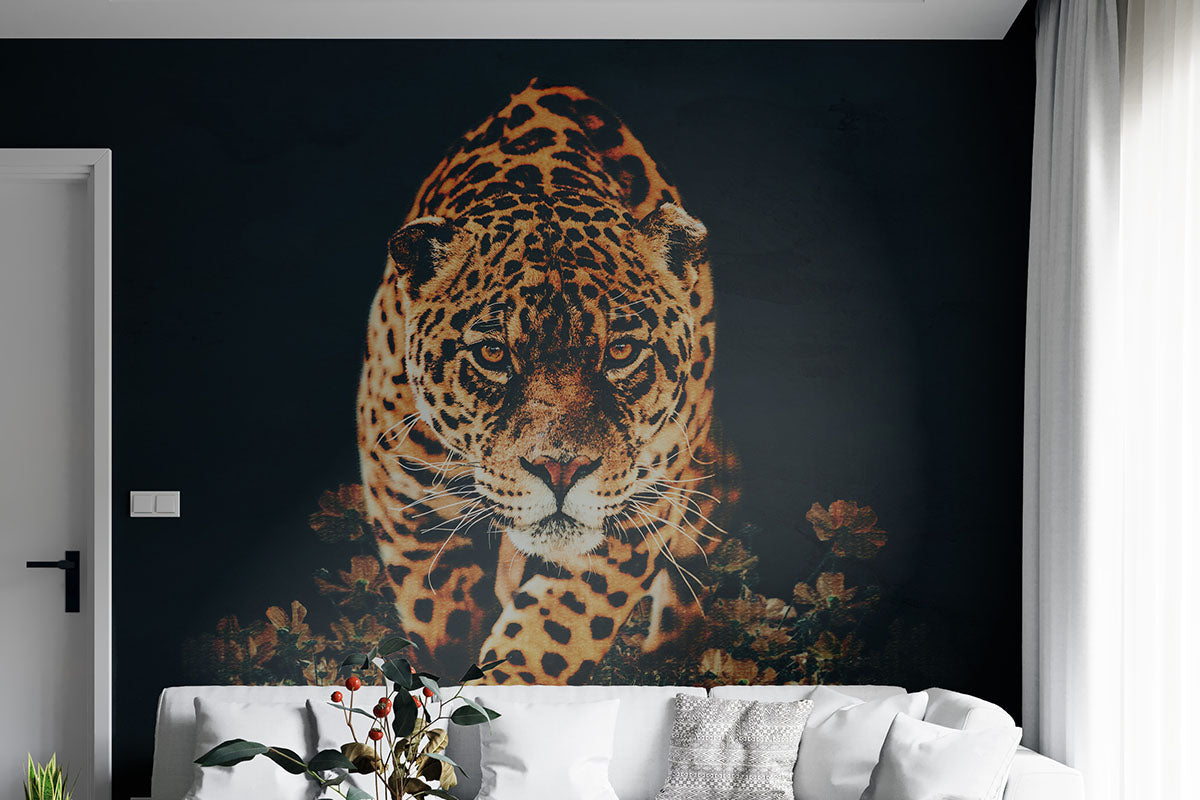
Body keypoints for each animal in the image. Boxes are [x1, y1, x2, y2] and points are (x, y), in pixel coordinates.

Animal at [357, 79, 739, 685]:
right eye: (493, 353)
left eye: (621, 351)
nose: (560, 470)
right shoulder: (406, 500)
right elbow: (440, 615)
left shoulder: (635, 513)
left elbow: (548, 636)